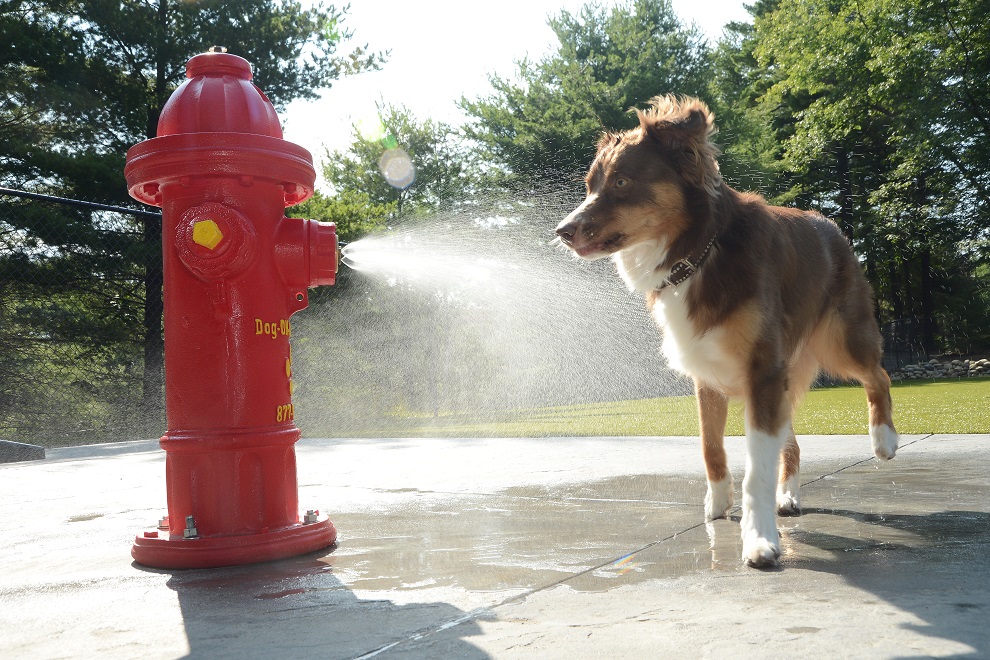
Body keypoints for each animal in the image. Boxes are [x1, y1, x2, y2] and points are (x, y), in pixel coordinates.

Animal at [556, 94, 904, 568]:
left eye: (622, 181)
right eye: (590, 186)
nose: (562, 231)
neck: (699, 251)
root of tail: (830, 224)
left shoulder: (762, 369)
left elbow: (756, 468)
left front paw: (759, 539)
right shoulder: (708, 374)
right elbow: (711, 446)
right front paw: (718, 505)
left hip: (840, 339)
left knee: (878, 376)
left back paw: (883, 440)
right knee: (793, 441)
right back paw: (788, 495)